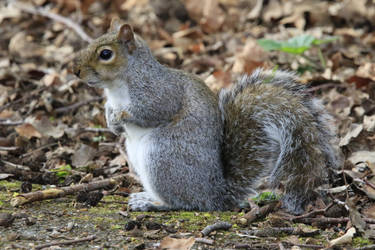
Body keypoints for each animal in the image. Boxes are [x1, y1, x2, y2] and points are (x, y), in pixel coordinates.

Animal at [73, 20, 340, 215]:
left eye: (105, 54)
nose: (76, 71)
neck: (117, 87)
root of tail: (214, 195)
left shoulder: (160, 92)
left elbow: (152, 111)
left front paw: (121, 117)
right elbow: (110, 111)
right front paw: (111, 121)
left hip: (163, 159)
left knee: (183, 202)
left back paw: (152, 203)